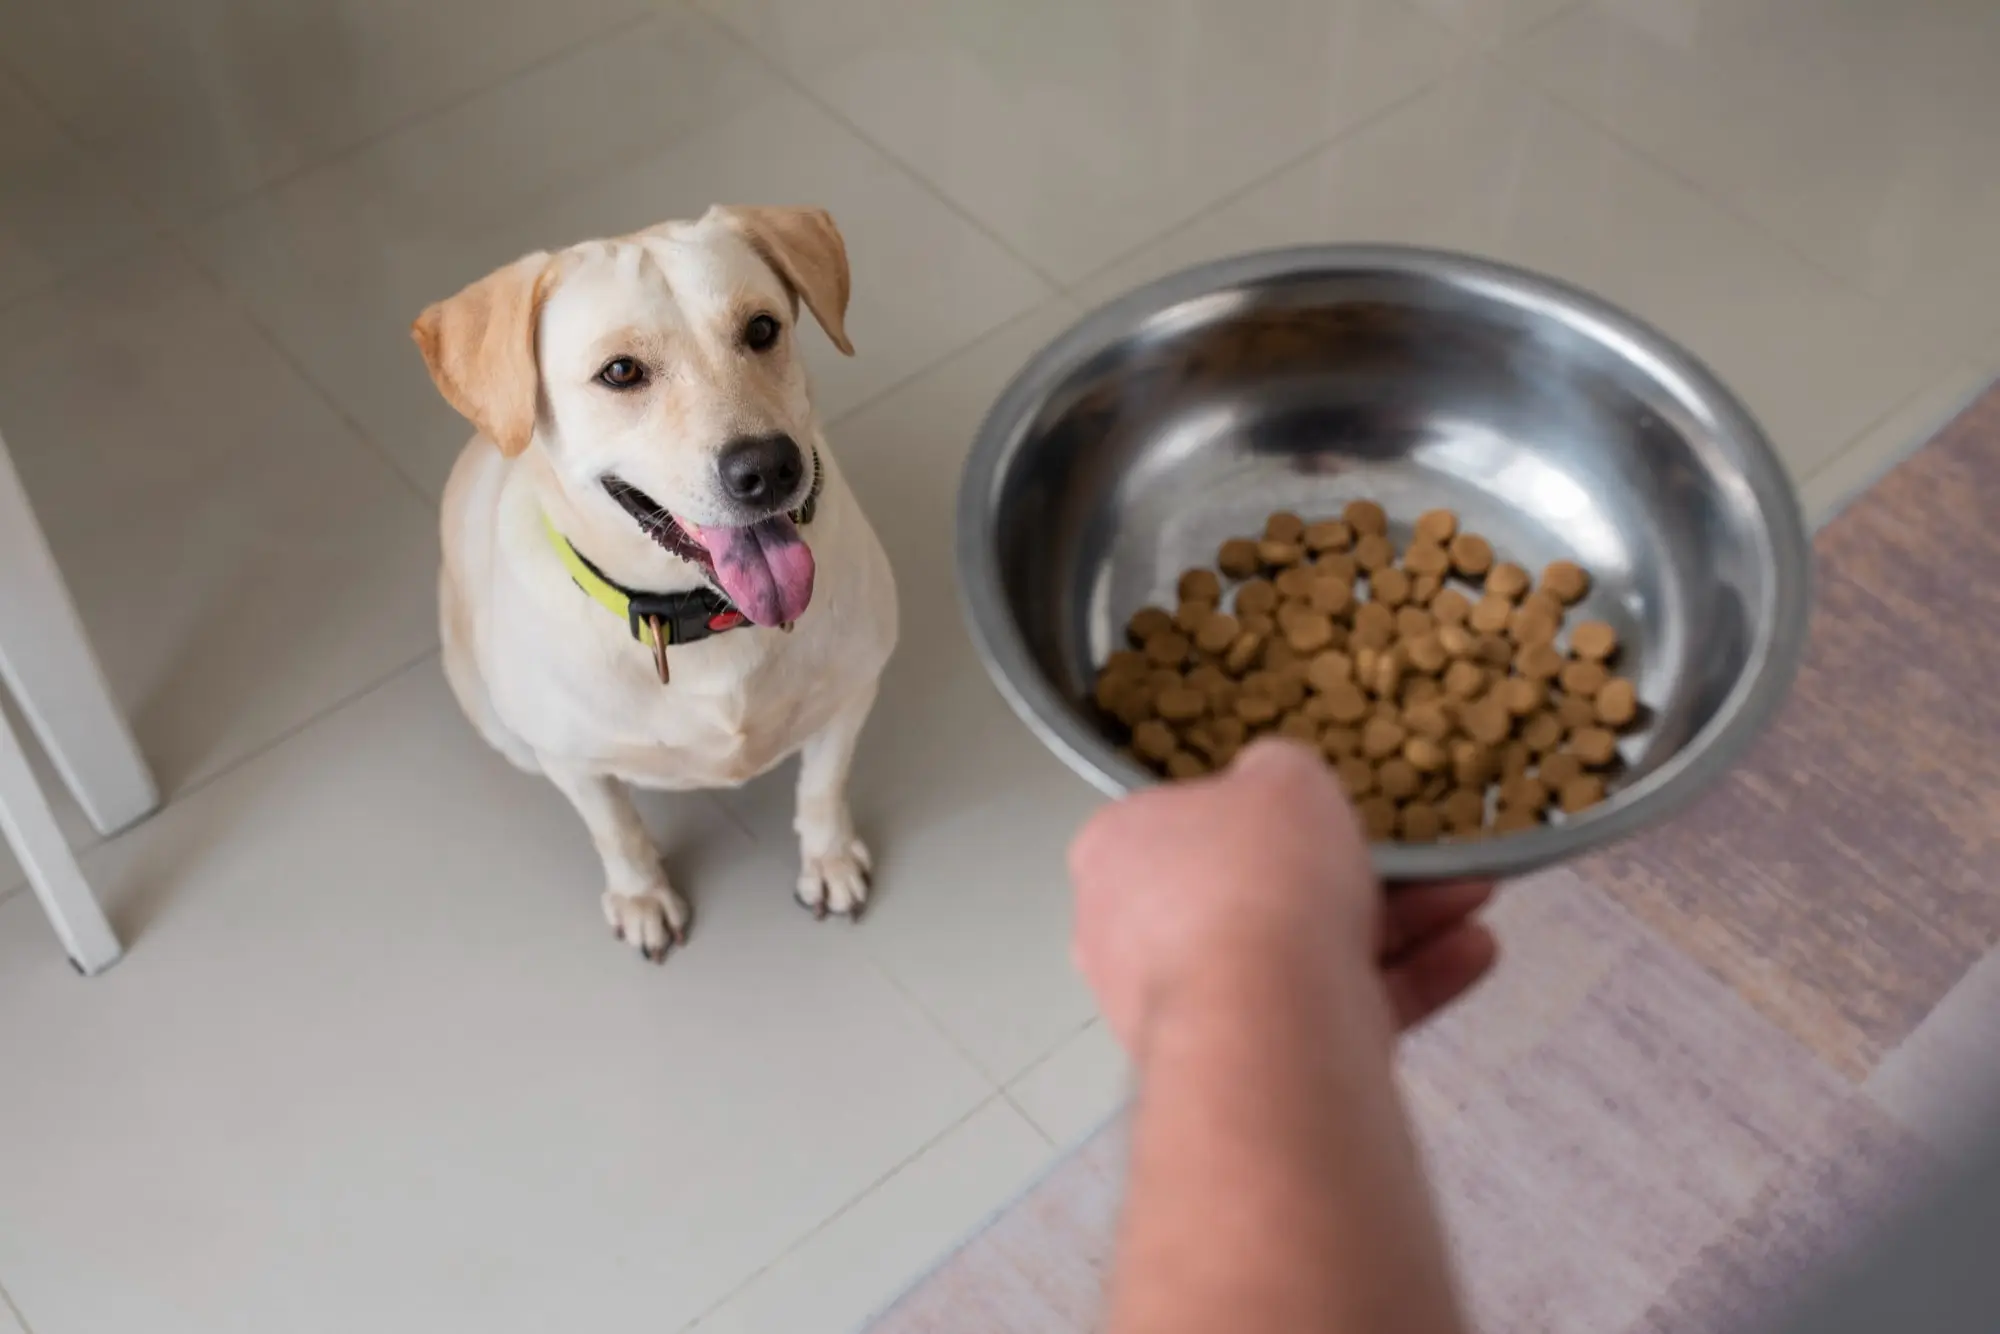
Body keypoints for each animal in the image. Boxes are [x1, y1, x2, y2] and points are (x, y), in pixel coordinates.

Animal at [414, 206, 900, 960]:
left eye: (762, 329)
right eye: (621, 372)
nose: (769, 468)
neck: (706, 617)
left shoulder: (851, 693)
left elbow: (823, 786)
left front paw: (829, 860)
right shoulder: (573, 761)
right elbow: (617, 832)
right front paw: (642, 898)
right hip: (500, 724)